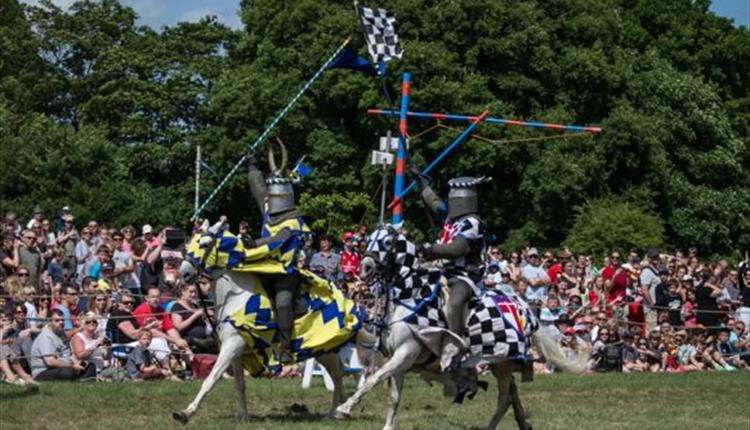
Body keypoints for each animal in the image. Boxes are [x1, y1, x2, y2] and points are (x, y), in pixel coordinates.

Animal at [336, 225, 592, 430]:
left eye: (388, 242)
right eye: (369, 238)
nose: (365, 268)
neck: (409, 296)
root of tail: (525, 308)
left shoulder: (406, 353)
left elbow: (373, 379)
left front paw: (344, 408)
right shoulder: (401, 361)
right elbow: (393, 397)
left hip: (501, 361)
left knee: (504, 397)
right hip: (499, 363)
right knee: (511, 393)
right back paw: (522, 423)